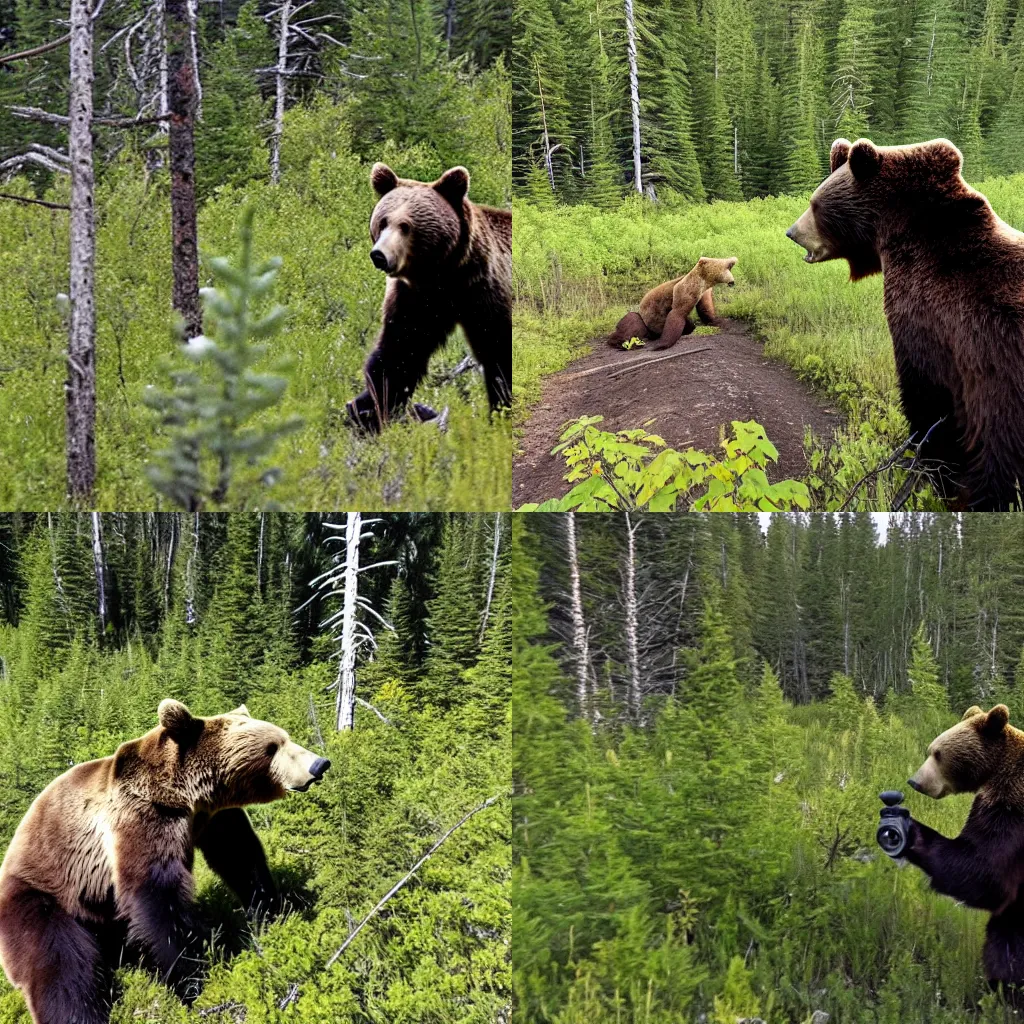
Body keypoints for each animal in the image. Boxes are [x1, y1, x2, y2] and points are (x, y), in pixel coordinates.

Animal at [0, 700, 327, 1024]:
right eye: (272, 747)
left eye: (284, 737)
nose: (319, 764)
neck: (184, 794)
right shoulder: (143, 816)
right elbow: (156, 895)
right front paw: (194, 981)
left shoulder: (213, 817)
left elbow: (240, 857)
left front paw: (273, 911)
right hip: (40, 895)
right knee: (60, 965)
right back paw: (79, 1013)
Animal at [346, 162, 512, 432]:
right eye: (383, 221)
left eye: (405, 225)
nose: (379, 255)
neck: (444, 276)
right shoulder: (419, 300)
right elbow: (401, 351)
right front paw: (368, 408)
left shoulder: (484, 292)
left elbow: (498, 351)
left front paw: (500, 413)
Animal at [602, 256, 741, 352]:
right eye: (729, 265)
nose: (733, 282)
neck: (704, 282)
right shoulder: (685, 289)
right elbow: (677, 313)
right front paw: (661, 345)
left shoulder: (703, 293)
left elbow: (706, 311)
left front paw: (720, 321)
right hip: (644, 319)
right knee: (633, 323)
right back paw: (619, 342)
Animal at [786, 136, 1024, 512]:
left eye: (815, 203)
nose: (792, 232)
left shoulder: (934, 319)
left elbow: (927, 393)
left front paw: (936, 472)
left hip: (1003, 382)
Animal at [901, 708, 1024, 1003]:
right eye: (930, 749)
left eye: (938, 754)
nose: (914, 781)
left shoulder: (1010, 811)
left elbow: (985, 874)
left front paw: (912, 831)